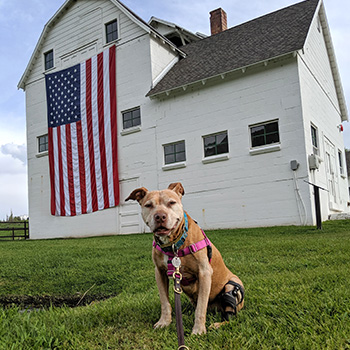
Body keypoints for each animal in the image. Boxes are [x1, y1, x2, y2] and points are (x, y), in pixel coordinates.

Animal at [125, 182, 243, 334]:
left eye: (171, 202)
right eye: (149, 205)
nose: (160, 216)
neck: (173, 244)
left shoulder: (204, 273)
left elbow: (201, 307)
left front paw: (198, 330)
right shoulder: (159, 272)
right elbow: (164, 301)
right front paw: (164, 322)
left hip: (232, 285)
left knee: (230, 317)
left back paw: (217, 324)